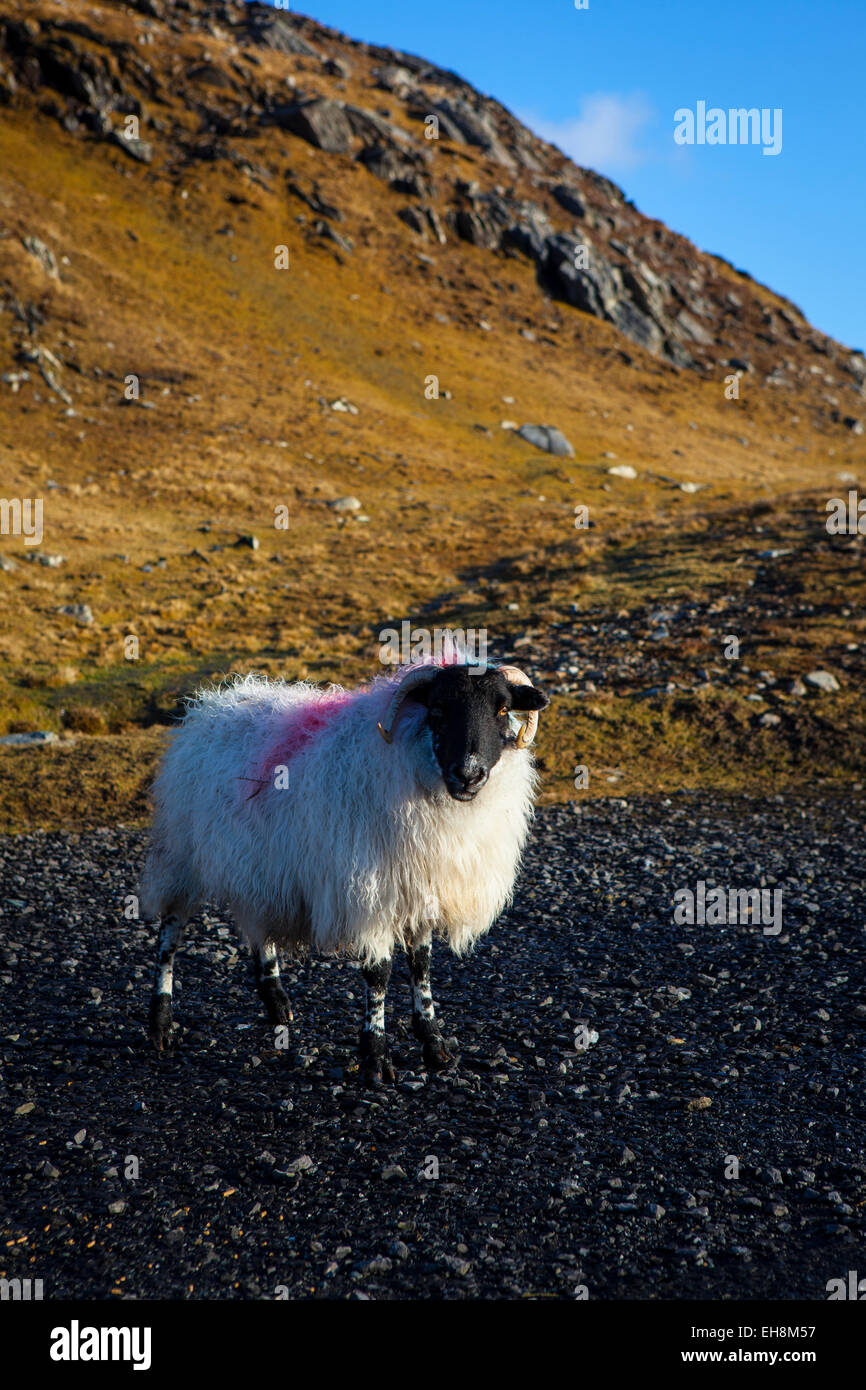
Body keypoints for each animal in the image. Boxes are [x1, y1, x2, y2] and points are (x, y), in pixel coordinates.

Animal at [140, 656, 547, 1078]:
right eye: (436, 709)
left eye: (502, 709)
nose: (468, 774)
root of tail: (211, 704)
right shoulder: (371, 894)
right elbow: (379, 974)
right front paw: (376, 1056)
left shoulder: (421, 888)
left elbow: (421, 966)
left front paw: (434, 1044)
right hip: (182, 854)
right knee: (170, 934)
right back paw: (161, 1023)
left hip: (258, 867)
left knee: (258, 924)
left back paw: (276, 999)